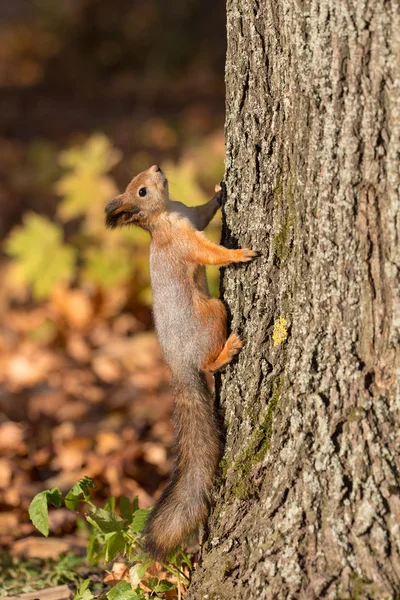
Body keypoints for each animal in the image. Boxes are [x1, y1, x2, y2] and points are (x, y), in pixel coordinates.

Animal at [104, 163, 258, 556]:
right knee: (207, 363)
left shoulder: (192, 215)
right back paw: (227, 350)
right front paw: (238, 255)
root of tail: (178, 365)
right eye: (142, 191)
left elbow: (205, 212)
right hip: (213, 312)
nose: (157, 167)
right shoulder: (185, 243)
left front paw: (219, 192)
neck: (167, 213)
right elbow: (210, 253)